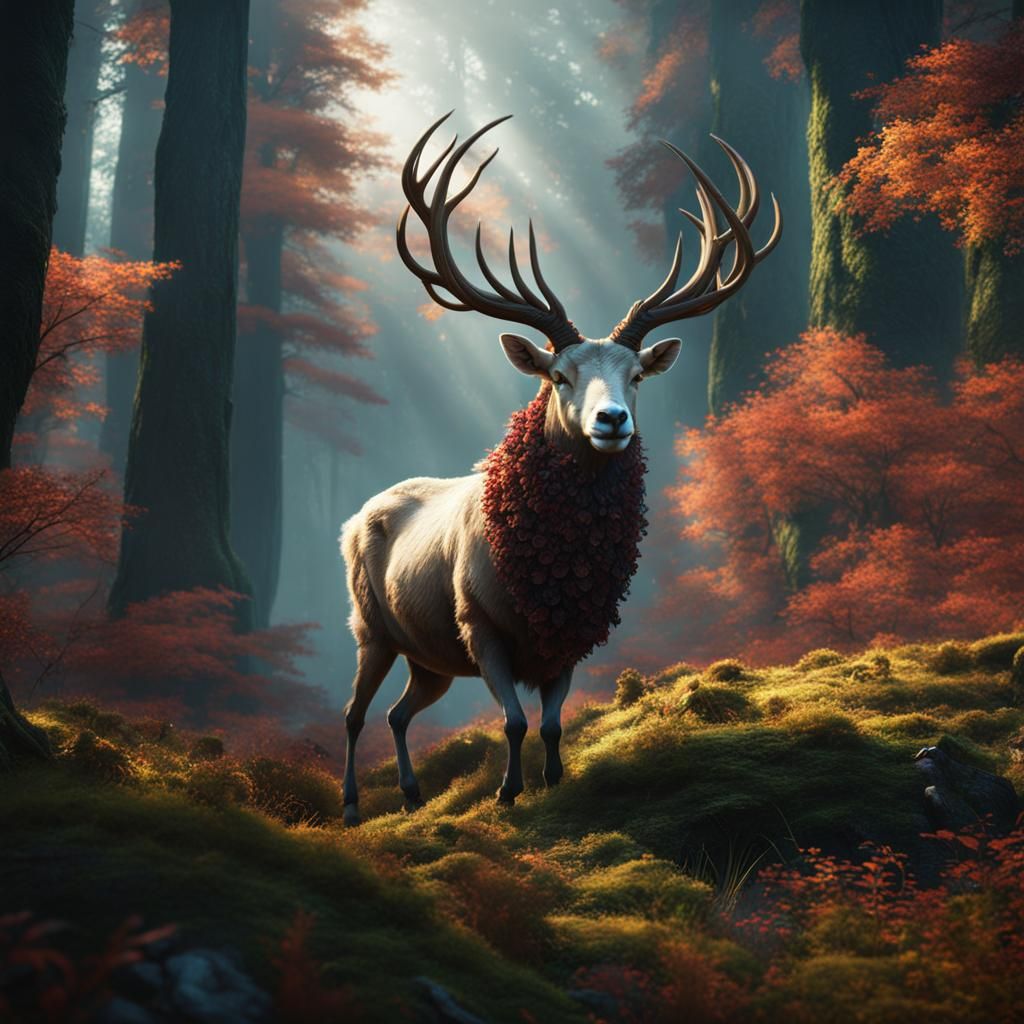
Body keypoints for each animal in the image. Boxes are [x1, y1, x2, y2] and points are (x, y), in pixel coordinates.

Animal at [339, 112, 781, 825]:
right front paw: (507, 790)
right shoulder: (477, 623)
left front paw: (552, 780)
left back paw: (409, 793)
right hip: (370, 626)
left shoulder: (572, 636)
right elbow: (514, 721)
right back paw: (352, 805)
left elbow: (549, 723)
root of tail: (353, 519)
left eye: (636, 377)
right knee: (355, 713)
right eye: (558, 375)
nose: (612, 420)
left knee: (399, 714)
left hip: (429, 657)